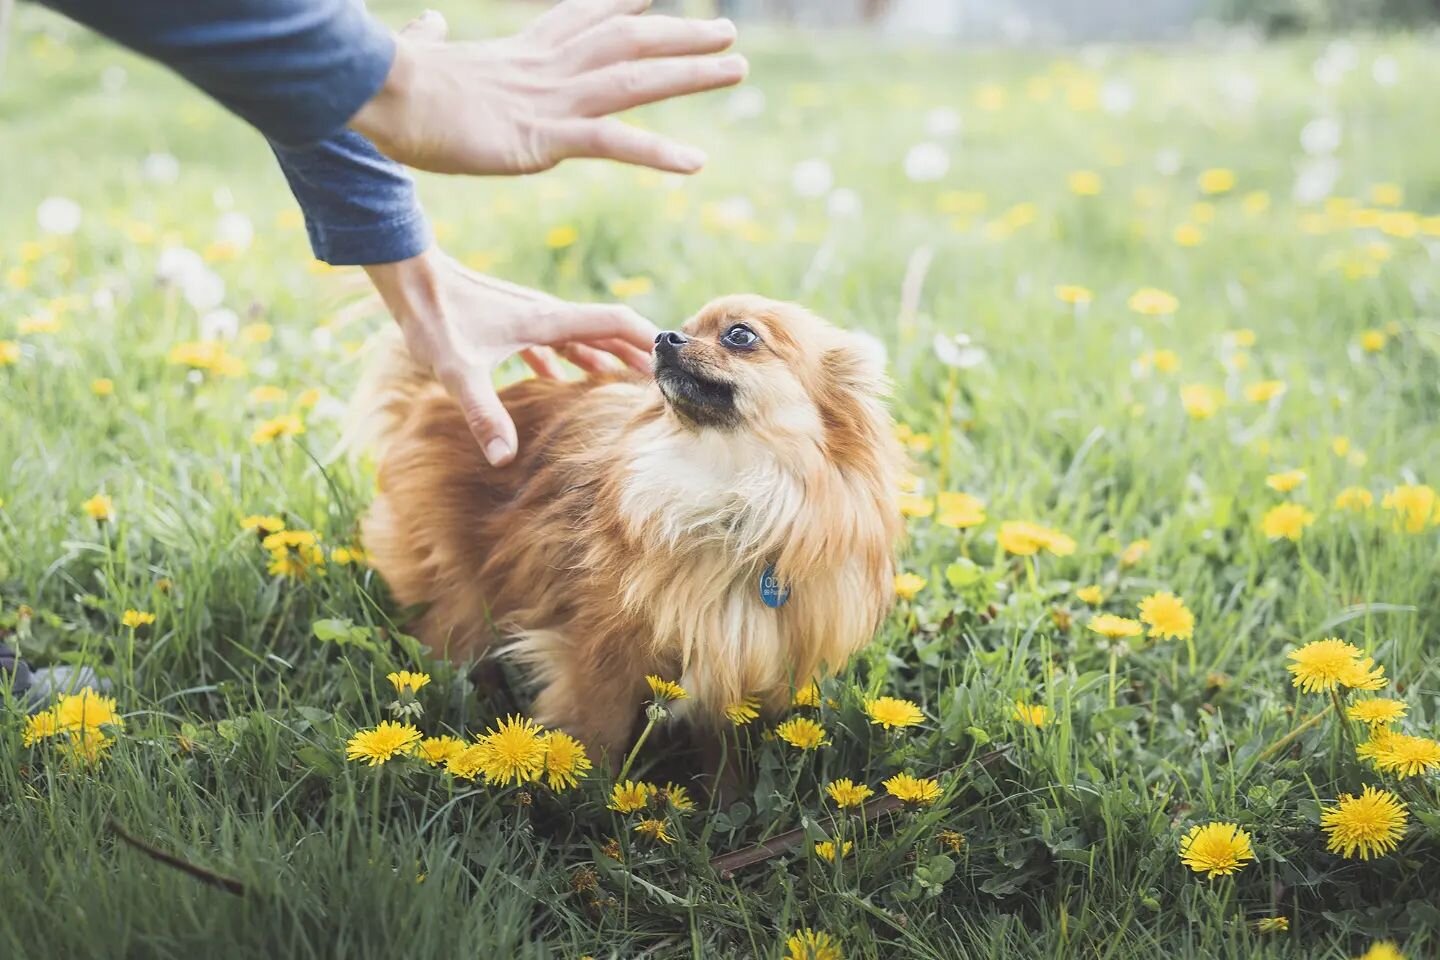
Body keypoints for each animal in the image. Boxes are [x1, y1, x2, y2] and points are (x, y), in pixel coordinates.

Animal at [360, 296, 898, 771]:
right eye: (683, 327)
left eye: (740, 335)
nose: (664, 337)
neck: (729, 491)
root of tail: (433, 401)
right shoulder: (600, 657)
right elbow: (599, 737)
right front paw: (588, 803)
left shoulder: (731, 673)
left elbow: (725, 769)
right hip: (463, 598)